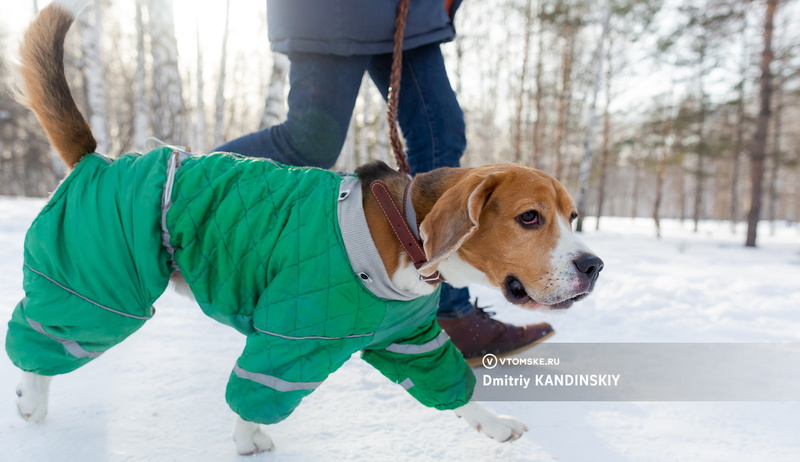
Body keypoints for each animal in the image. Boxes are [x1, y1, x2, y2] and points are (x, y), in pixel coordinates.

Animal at [10, 0, 600, 454]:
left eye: (573, 217)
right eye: (529, 218)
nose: (594, 266)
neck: (404, 232)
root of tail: (98, 160)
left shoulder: (412, 343)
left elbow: (454, 387)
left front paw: (493, 424)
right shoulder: (292, 339)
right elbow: (257, 396)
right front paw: (246, 442)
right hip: (102, 291)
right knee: (39, 335)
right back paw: (30, 397)